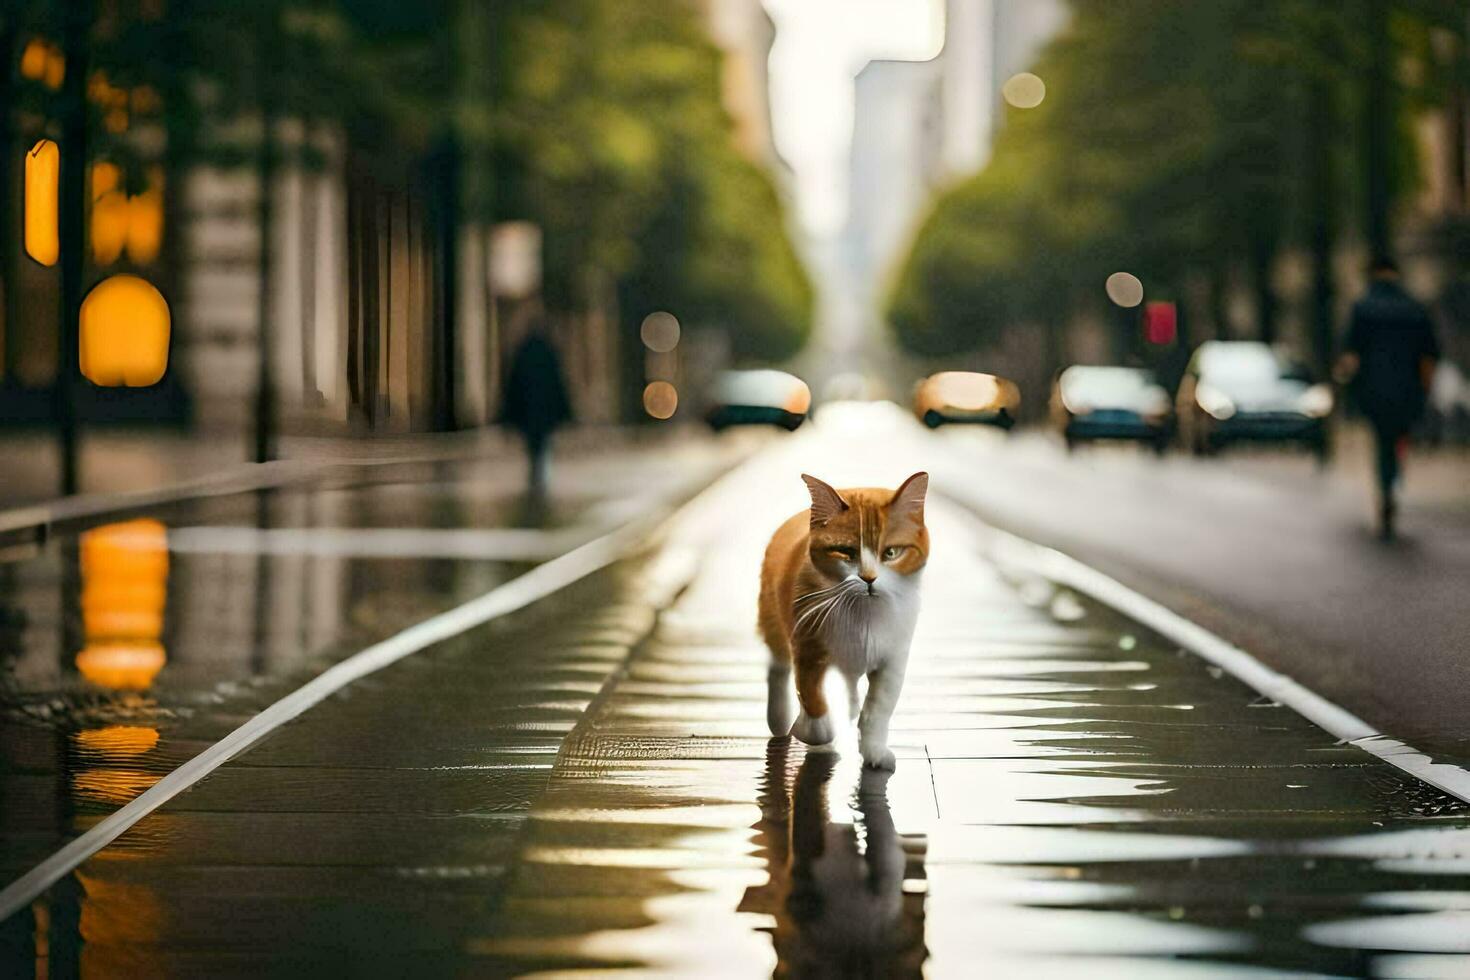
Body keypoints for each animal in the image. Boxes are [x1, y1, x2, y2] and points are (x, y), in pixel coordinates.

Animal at [758, 470, 929, 769]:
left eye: (891, 553)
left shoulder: (893, 658)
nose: (869, 578)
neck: (863, 613)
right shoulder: (808, 646)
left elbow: (877, 708)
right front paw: (812, 730)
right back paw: (780, 719)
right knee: (778, 668)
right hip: (774, 622)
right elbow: (811, 695)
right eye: (846, 552)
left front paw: (874, 751)